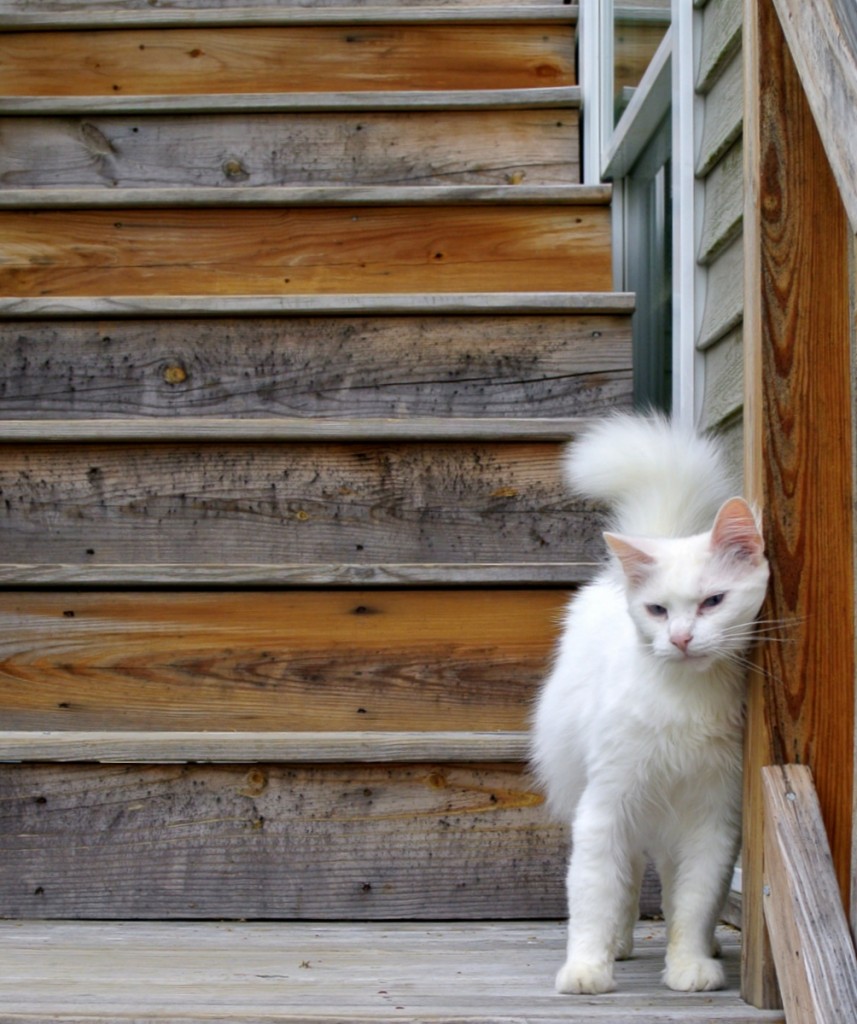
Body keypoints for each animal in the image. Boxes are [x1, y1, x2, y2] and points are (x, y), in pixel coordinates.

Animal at [532, 413, 765, 991]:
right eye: (657, 610)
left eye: (713, 602)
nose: (680, 640)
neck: (685, 701)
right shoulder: (605, 807)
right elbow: (594, 898)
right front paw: (586, 969)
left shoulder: (712, 819)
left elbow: (695, 902)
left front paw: (689, 966)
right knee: (630, 878)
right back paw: (618, 947)